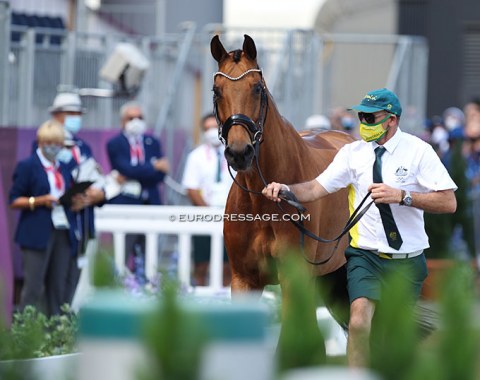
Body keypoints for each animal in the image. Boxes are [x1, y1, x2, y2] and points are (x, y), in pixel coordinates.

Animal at [212, 34, 354, 354]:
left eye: (257, 88)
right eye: (217, 91)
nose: (239, 152)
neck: (261, 200)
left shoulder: (294, 278)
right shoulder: (243, 279)